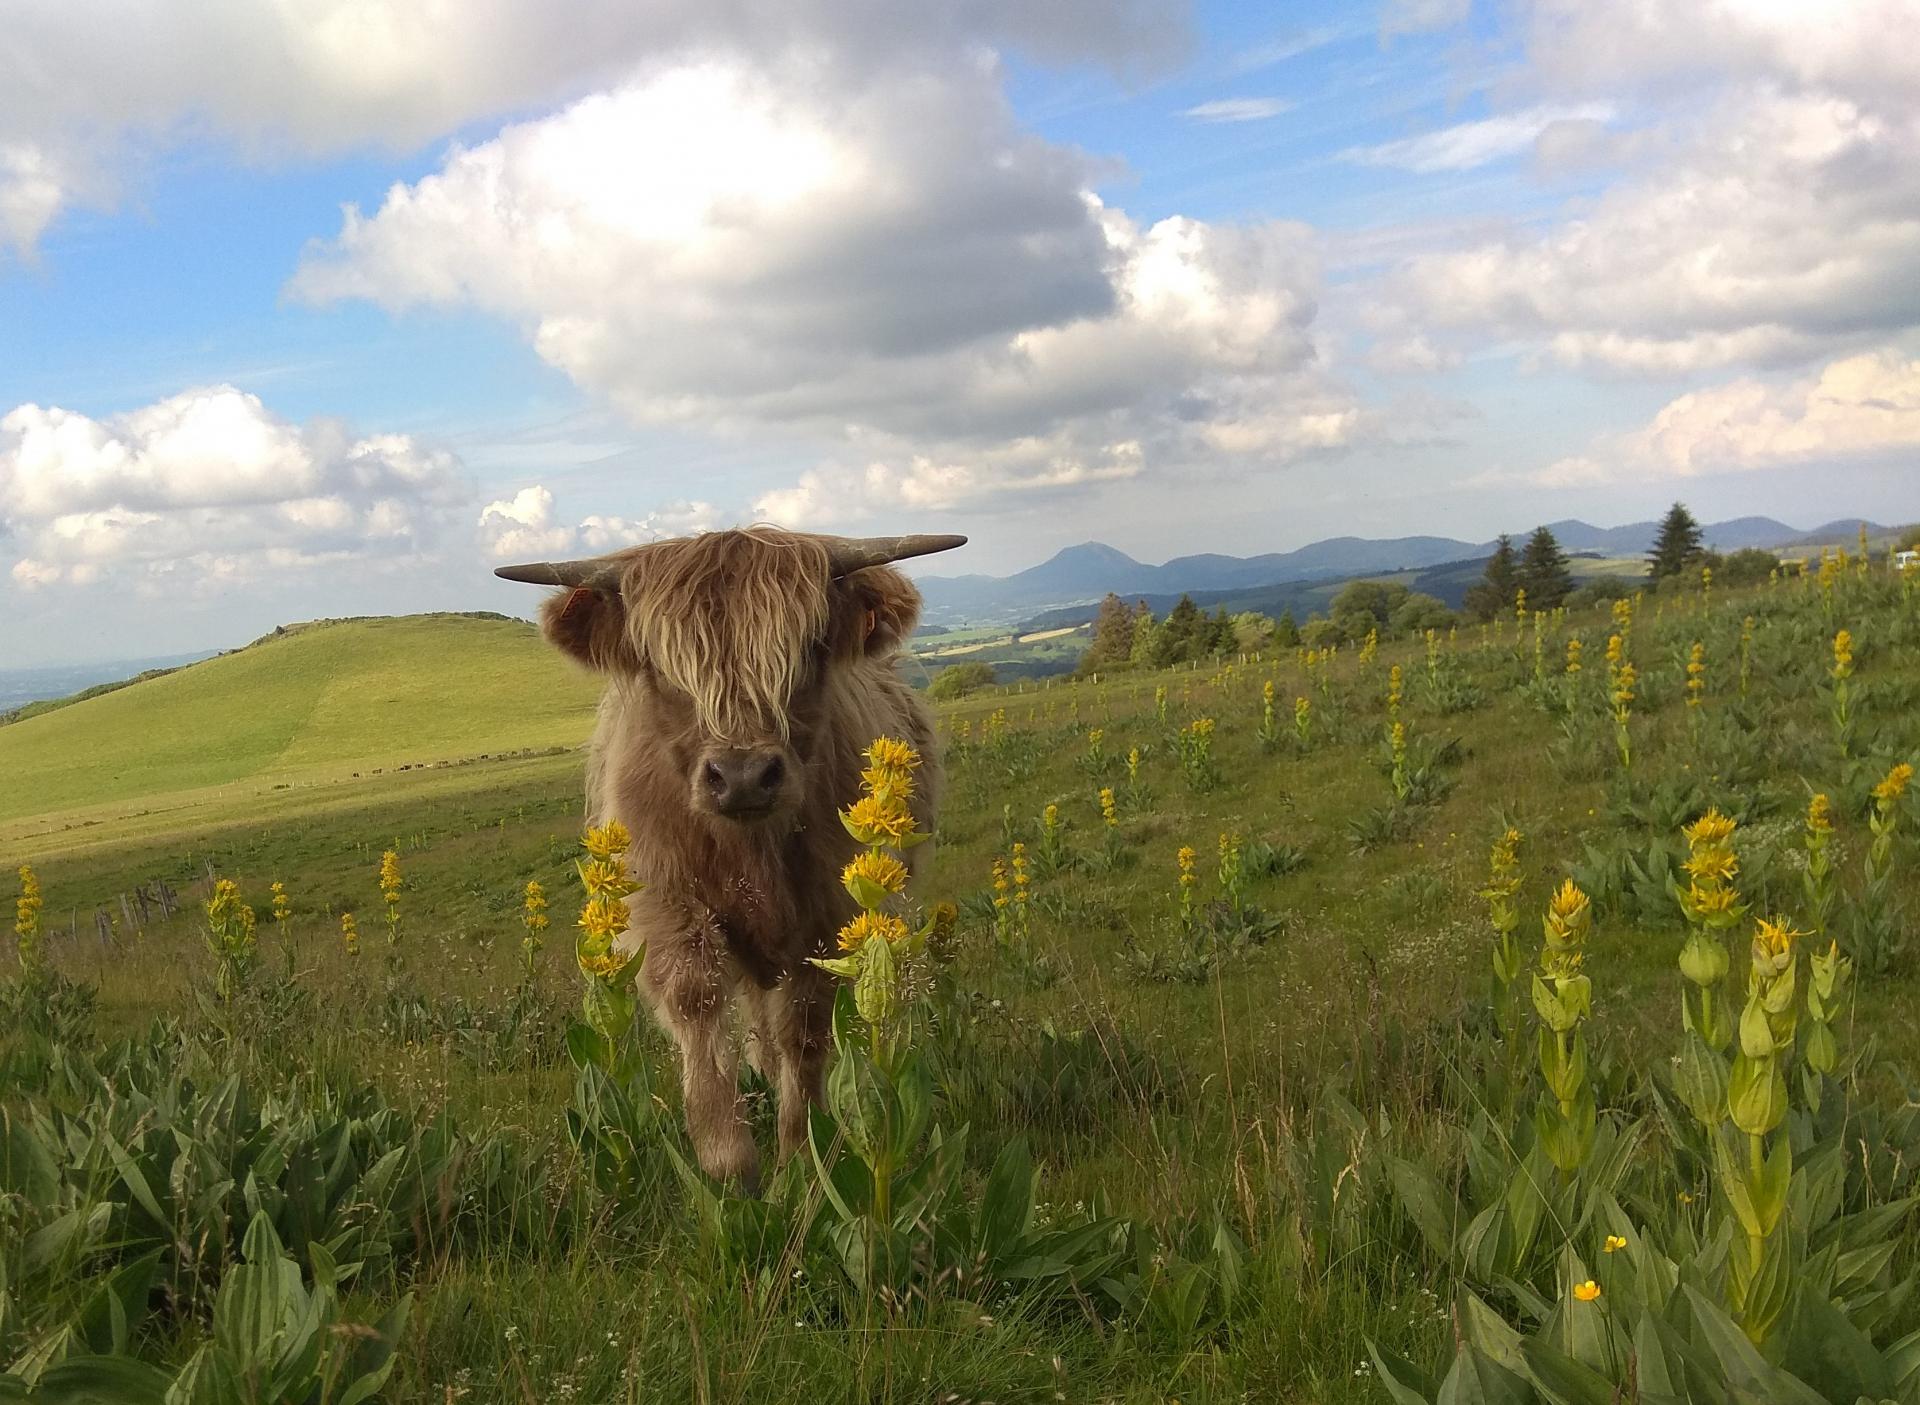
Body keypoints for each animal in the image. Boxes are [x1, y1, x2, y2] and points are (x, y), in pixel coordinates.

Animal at [495, 525, 960, 1182]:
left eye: (811, 648)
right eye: (661, 666)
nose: (742, 777)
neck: (751, 853)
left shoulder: (830, 918)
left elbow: (805, 1029)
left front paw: (800, 1155)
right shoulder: (665, 905)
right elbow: (695, 1002)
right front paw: (726, 1161)